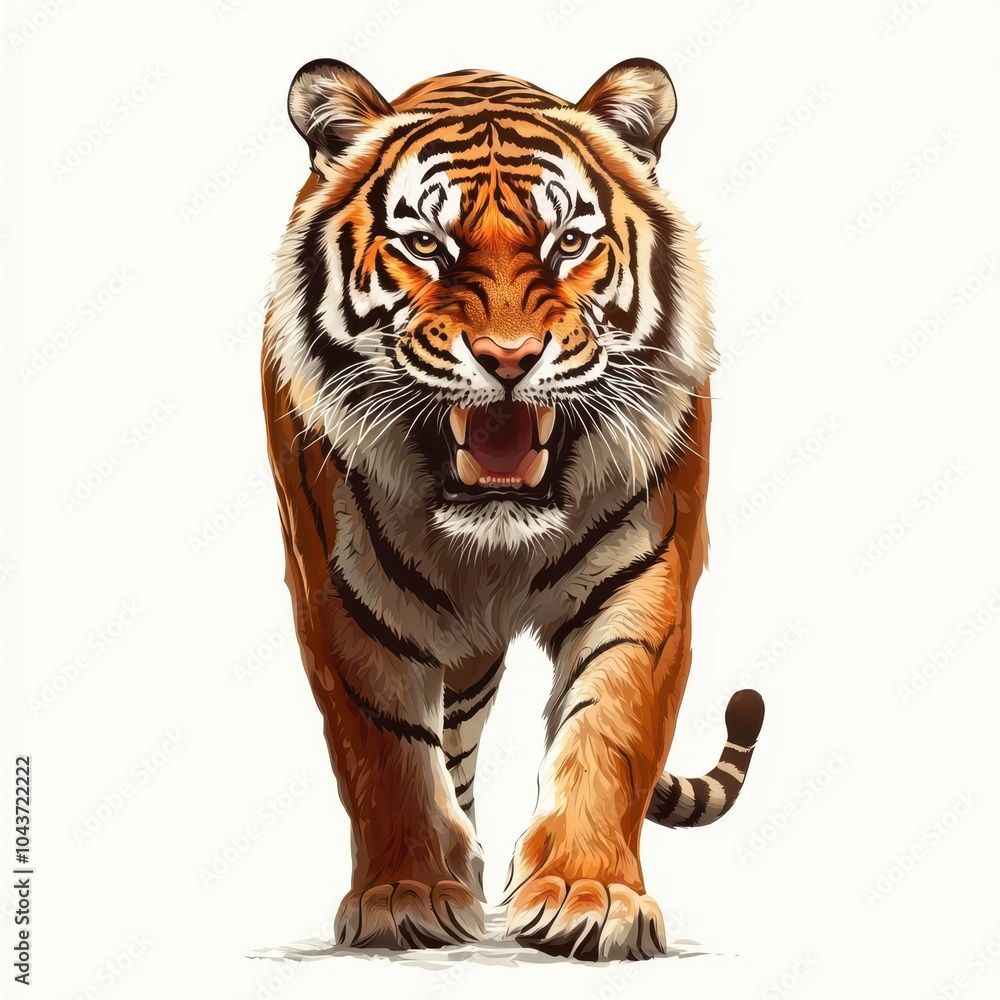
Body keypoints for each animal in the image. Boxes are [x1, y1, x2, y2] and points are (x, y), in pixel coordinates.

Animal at [261, 57, 765, 962]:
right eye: (426, 244)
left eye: (569, 242)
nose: (507, 358)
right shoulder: (342, 600)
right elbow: (384, 752)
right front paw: (405, 895)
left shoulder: (645, 580)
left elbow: (609, 730)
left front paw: (590, 896)